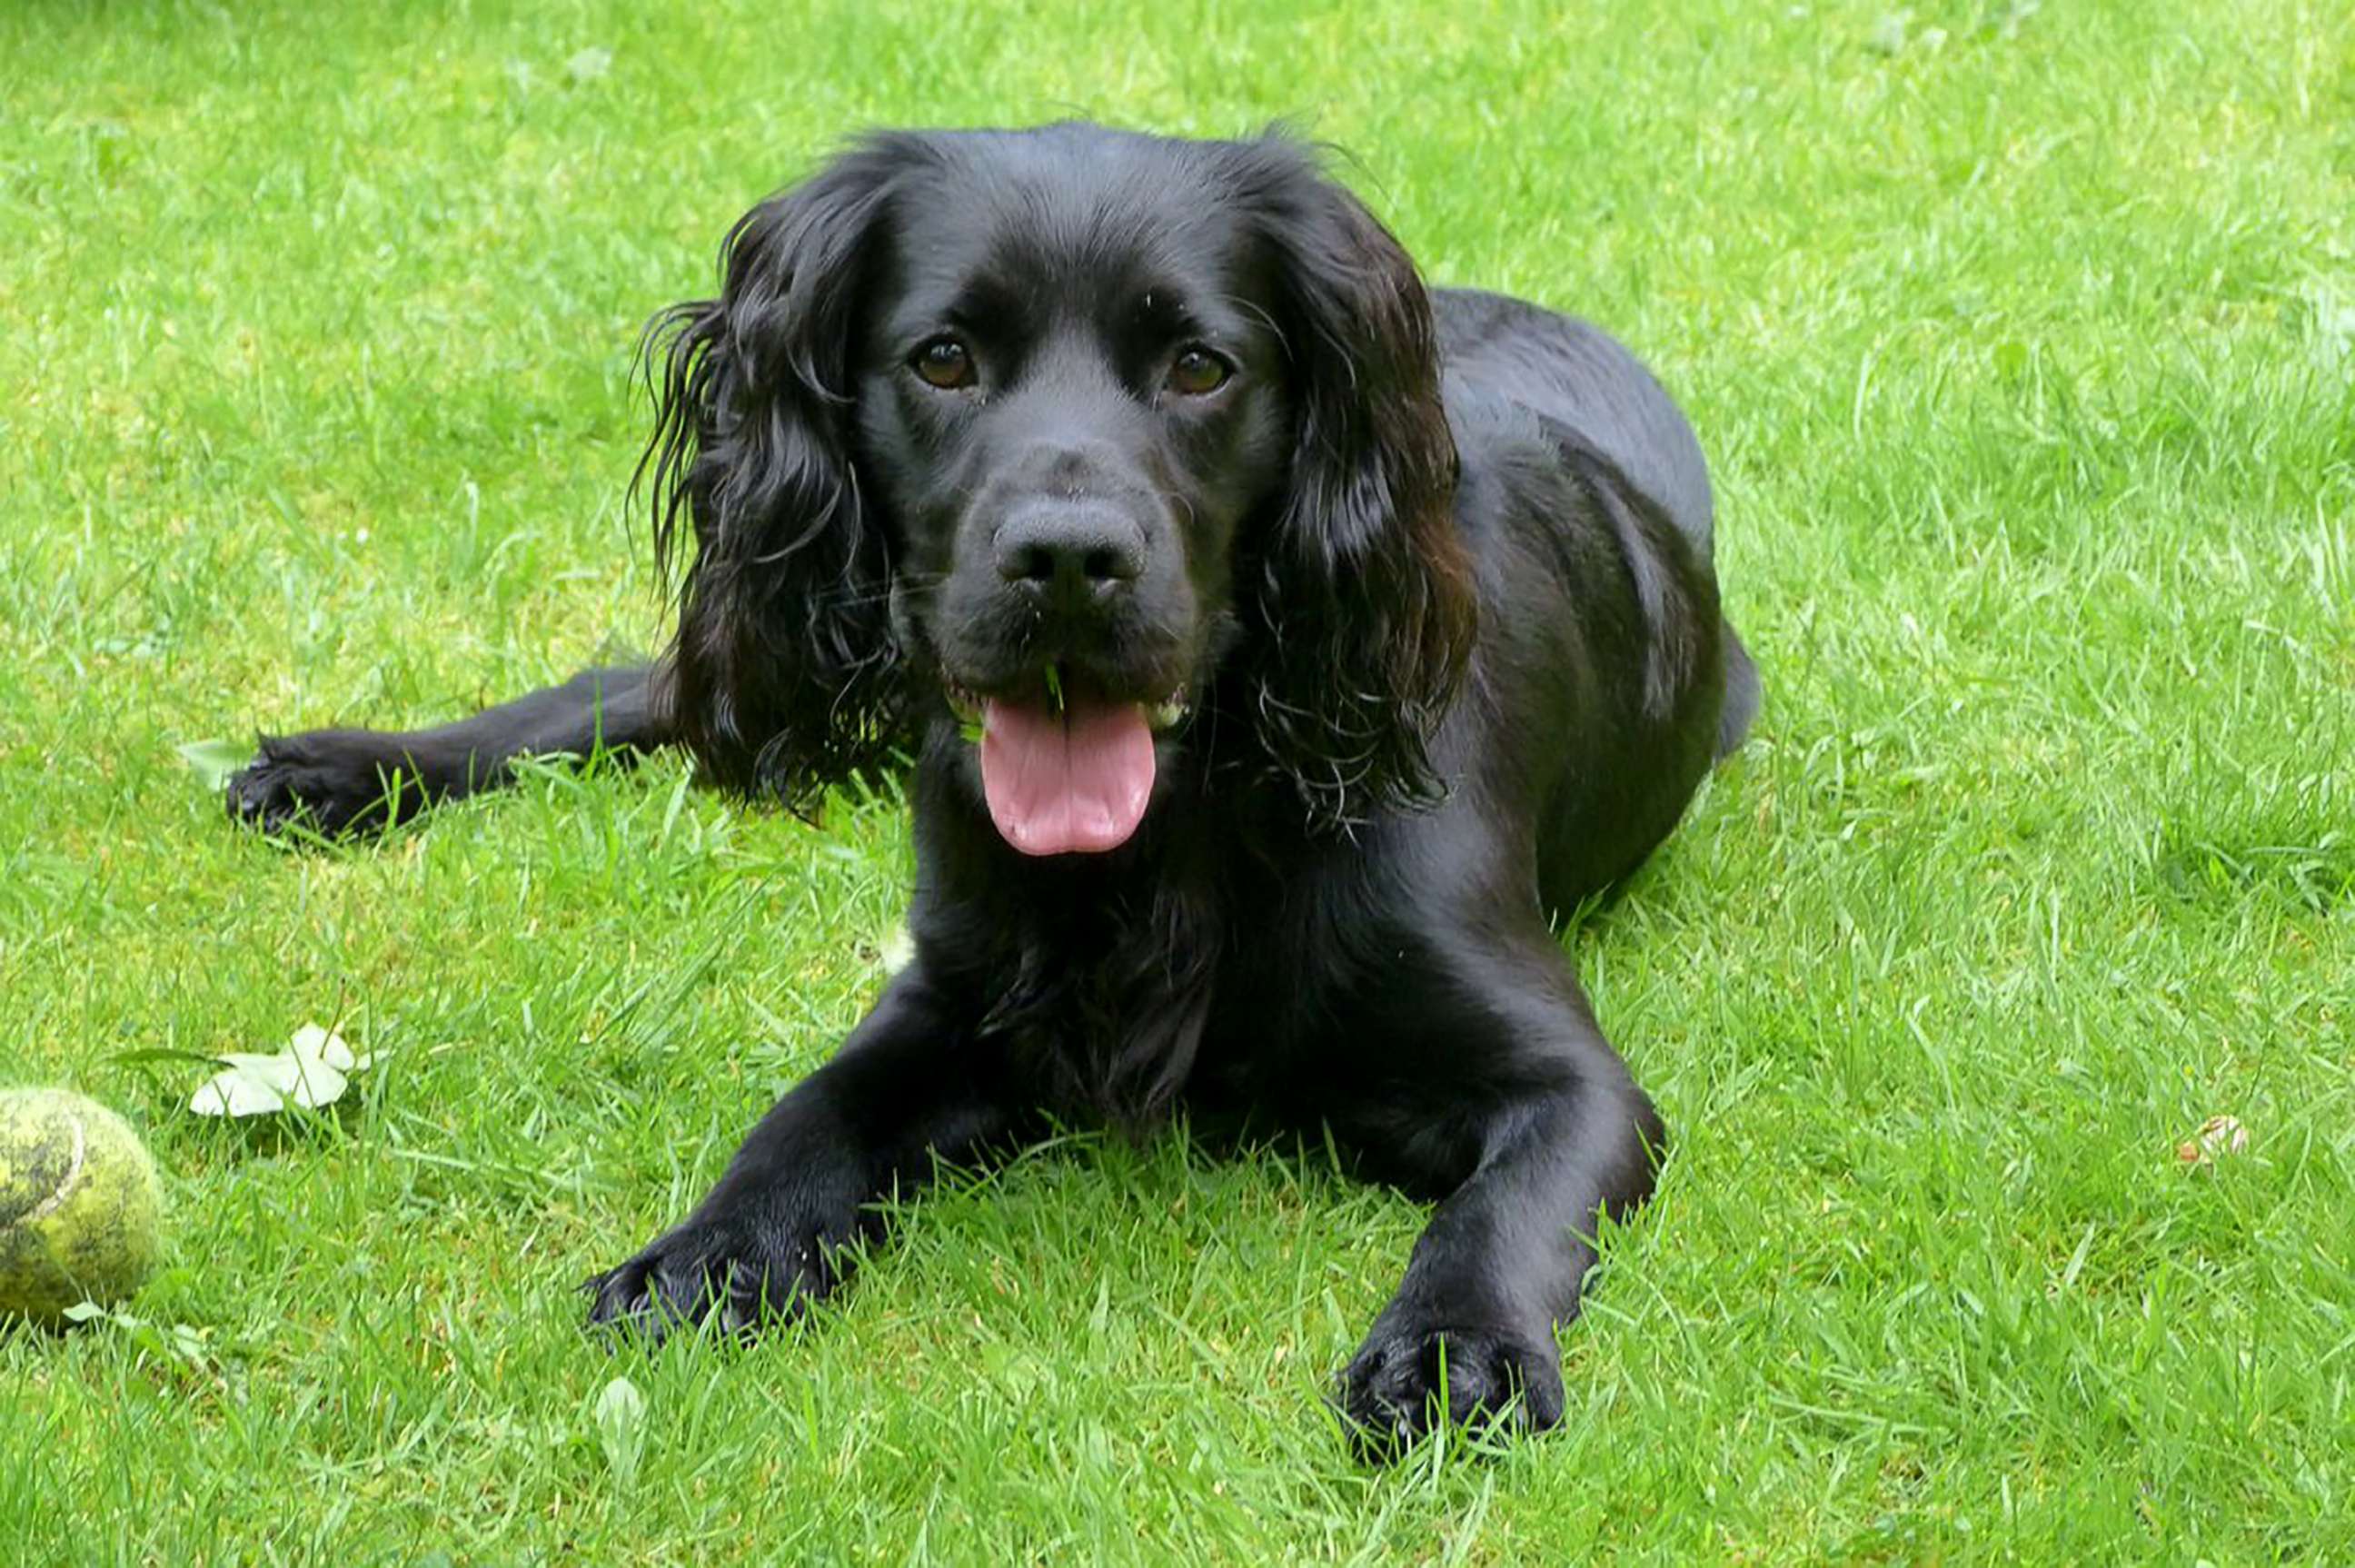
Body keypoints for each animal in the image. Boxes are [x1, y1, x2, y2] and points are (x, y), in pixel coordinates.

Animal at [229, 122, 1761, 1450]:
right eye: (945, 357)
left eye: (1201, 365)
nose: (1068, 562)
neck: (1184, 815)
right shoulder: (951, 991)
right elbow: (810, 1113)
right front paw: (712, 1248)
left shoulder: (1573, 1085)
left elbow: (1500, 1208)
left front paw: (1454, 1349)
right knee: (639, 686)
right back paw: (347, 769)